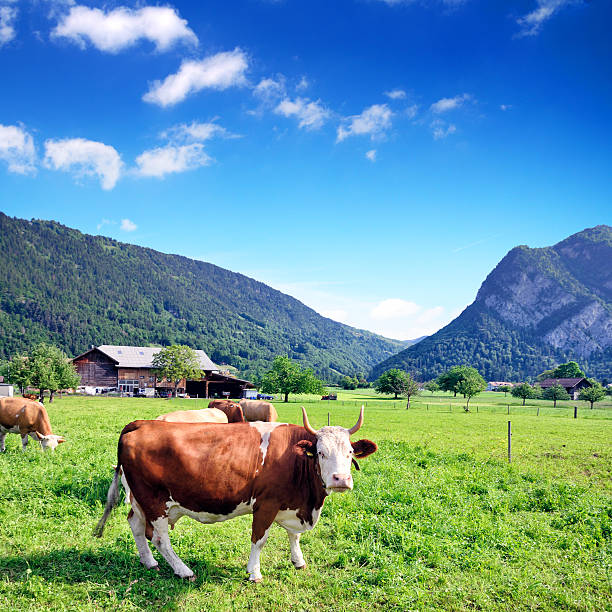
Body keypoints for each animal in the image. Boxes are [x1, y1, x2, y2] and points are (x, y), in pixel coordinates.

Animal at [94, 406, 378, 584]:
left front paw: (298, 561)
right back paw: (183, 570)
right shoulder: (266, 503)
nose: (341, 480)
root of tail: (141, 423)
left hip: (138, 499)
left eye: (350, 453)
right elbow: (259, 540)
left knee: (135, 524)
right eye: (320, 452)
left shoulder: (293, 505)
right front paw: (254, 573)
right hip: (154, 500)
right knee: (159, 537)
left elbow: (294, 536)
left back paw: (149, 562)